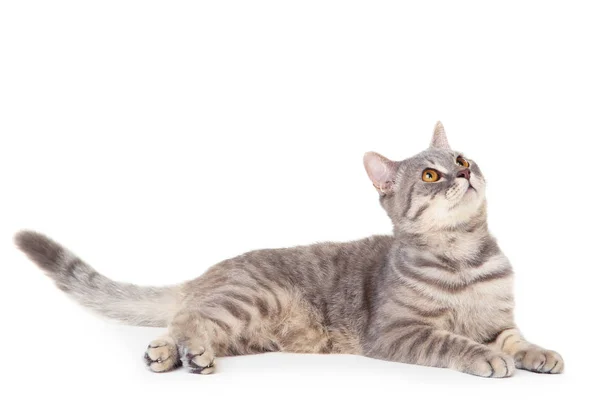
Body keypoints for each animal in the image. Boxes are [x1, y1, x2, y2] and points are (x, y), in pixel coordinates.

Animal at [16, 122, 564, 378]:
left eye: (462, 157)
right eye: (431, 174)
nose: (463, 172)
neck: (465, 256)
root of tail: (208, 273)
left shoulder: (499, 322)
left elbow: (516, 340)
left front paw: (540, 354)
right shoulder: (399, 332)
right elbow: (453, 343)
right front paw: (485, 359)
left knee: (190, 326)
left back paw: (181, 355)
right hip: (249, 299)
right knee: (186, 319)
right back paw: (177, 351)